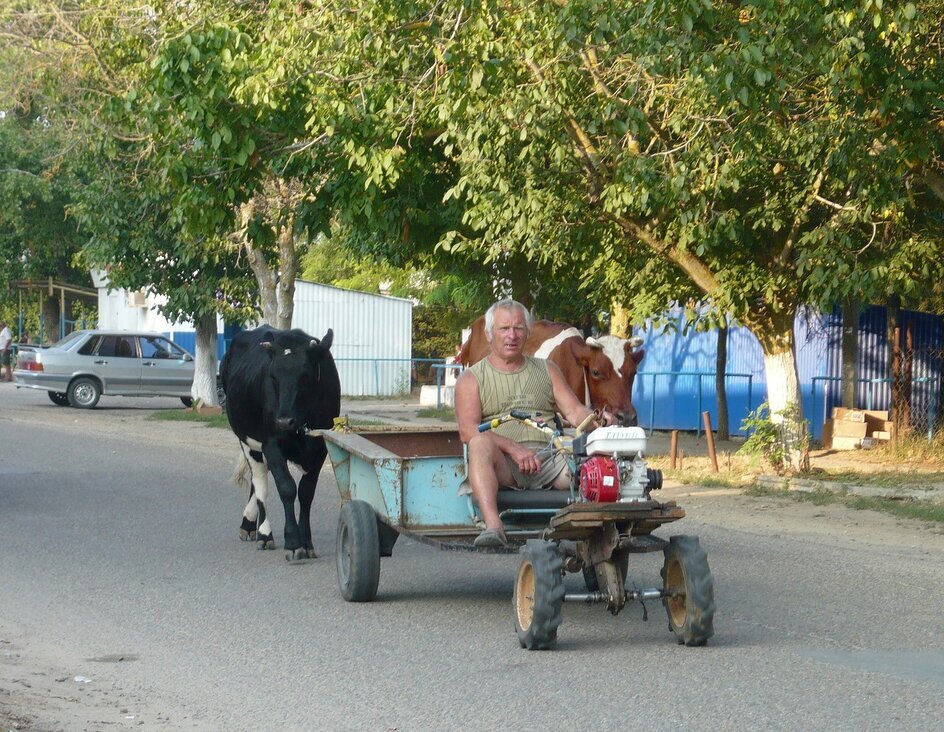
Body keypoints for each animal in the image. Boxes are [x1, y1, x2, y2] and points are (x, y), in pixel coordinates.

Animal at [219, 326, 342, 560]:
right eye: (273, 376)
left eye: (305, 376)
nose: (284, 421)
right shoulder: (271, 444)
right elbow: (286, 488)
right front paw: (293, 542)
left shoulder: (320, 448)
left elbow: (306, 492)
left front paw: (307, 542)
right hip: (247, 440)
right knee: (259, 482)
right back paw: (263, 533)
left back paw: (251, 526)